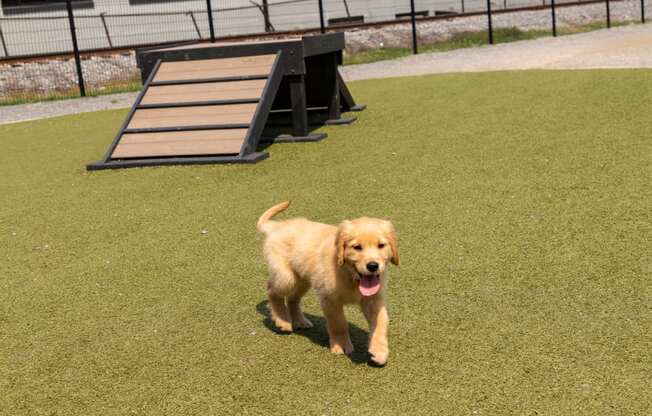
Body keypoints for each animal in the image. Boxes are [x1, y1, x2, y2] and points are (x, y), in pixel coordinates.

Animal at [258, 200, 400, 366]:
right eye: (357, 247)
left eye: (381, 245)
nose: (372, 266)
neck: (350, 276)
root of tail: (278, 226)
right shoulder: (329, 299)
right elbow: (338, 322)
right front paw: (341, 345)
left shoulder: (373, 299)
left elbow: (381, 322)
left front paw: (379, 351)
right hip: (287, 277)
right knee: (271, 290)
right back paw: (282, 320)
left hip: (303, 279)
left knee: (292, 298)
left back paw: (299, 321)